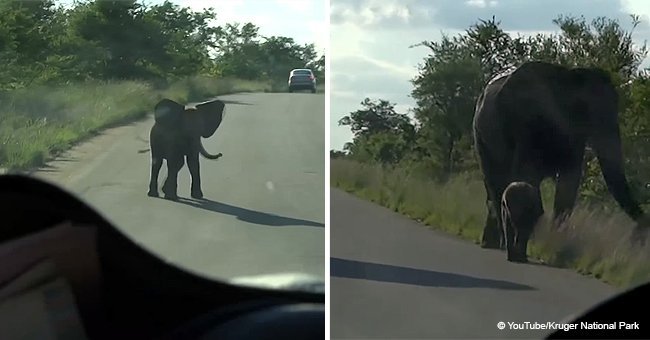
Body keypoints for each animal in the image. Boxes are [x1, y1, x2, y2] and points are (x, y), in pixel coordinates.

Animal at [470, 60, 644, 250]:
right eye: (585, 110)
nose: (637, 234)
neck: (568, 79)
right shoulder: (527, 122)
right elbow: (527, 174)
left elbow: (569, 184)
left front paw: (554, 243)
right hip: (480, 136)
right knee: (495, 183)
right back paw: (501, 243)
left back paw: (492, 243)